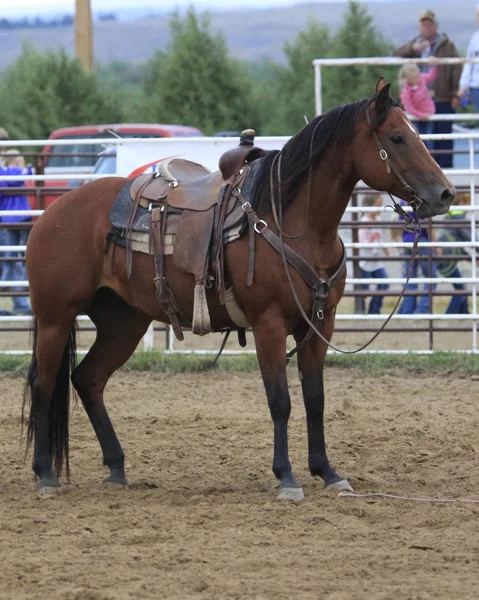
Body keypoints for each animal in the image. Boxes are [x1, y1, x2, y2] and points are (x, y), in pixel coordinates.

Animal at [24, 82, 456, 500]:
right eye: (397, 137)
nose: (445, 194)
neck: (293, 223)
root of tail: (51, 213)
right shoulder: (269, 325)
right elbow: (280, 401)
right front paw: (286, 478)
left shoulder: (320, 324)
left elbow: (315, 399)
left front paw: (327, 472)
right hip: (55, 317)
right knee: (43, 384)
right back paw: (45, 474)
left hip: (123, 322)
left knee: (88, 379)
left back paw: (116, 467)